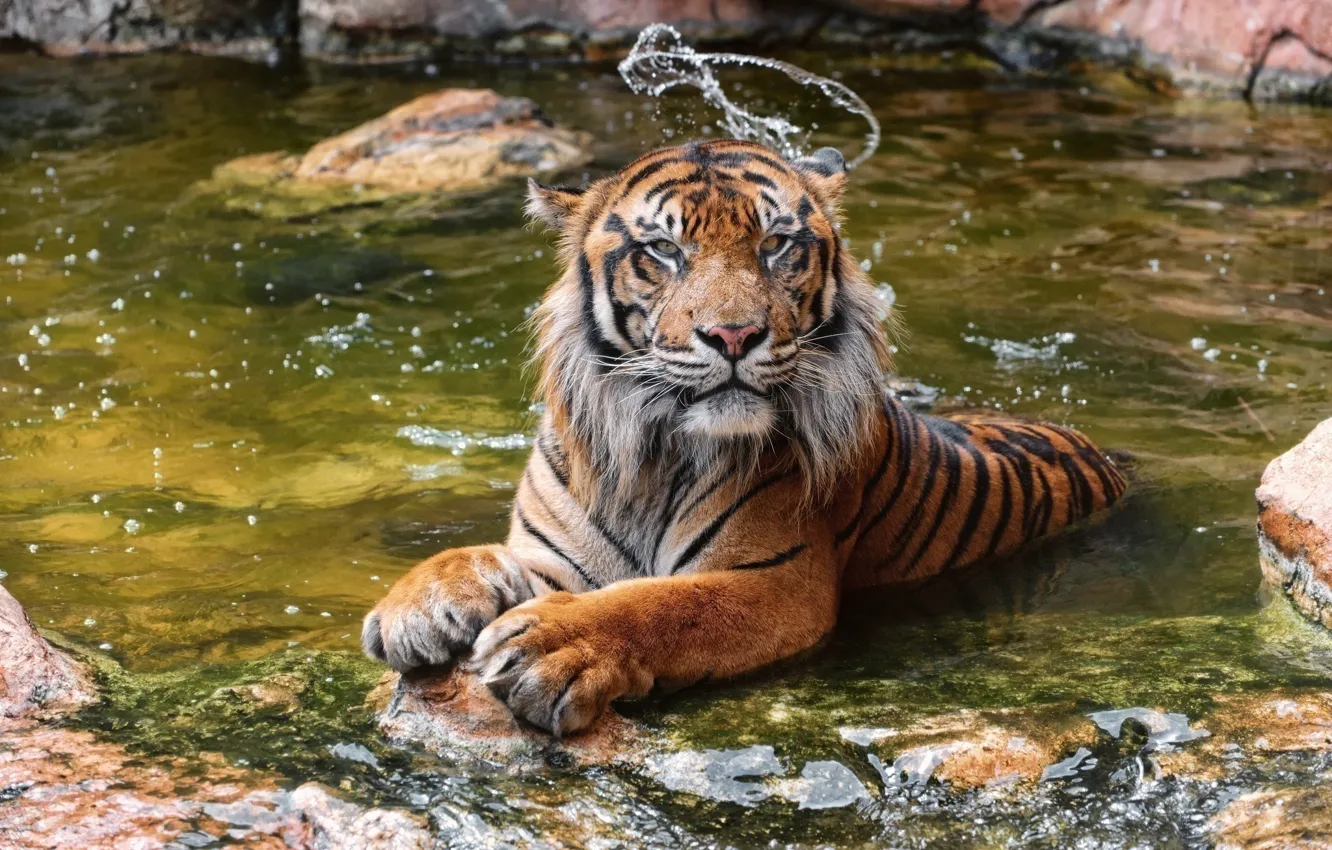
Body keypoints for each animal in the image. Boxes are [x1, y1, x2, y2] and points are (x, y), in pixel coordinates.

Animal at [362, 139, 1127, 736]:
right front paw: (415, 607)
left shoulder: (778, 582)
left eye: (775, 244)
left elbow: (661, 605)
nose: (734, 335)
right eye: (665, 250)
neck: (652, 453)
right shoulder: (547, 556)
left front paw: (549, 645)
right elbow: (474, 556)